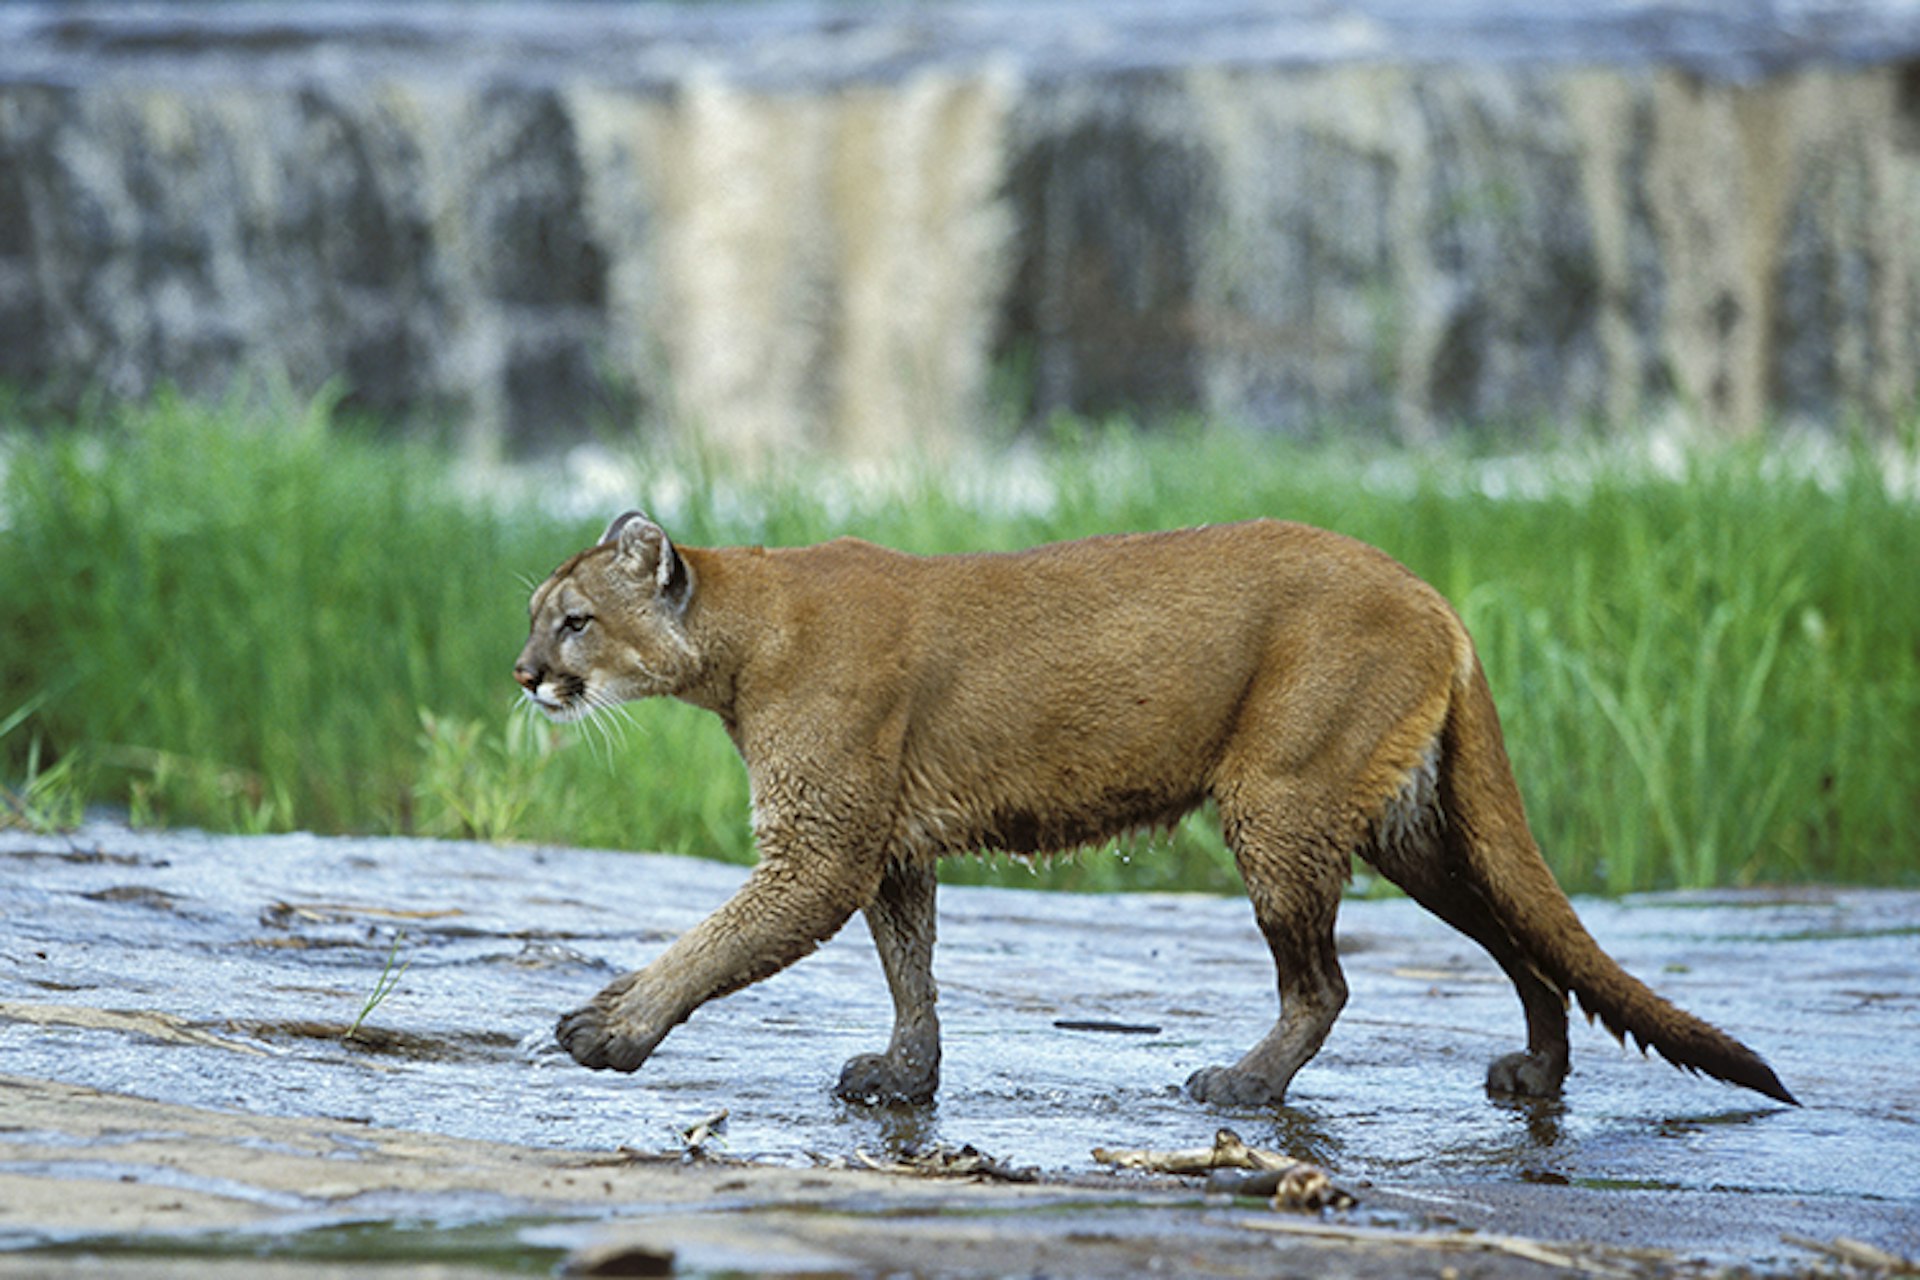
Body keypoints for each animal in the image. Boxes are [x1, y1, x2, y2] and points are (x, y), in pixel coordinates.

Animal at [514, 510, 1797, 1113]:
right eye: (539, 615)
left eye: (574, 619)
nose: (524, 674)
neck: (739, 634)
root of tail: (1430, 588)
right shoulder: (890, 843)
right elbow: (909, 961)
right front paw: (907, 1073)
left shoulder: (821, 843)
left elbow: (717, 939)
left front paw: (608, 1029)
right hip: (1403, 823)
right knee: (1524, 937)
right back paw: (1536, 1070)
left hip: (1281, 797)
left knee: (1327, 980)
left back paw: (1243, 1083)